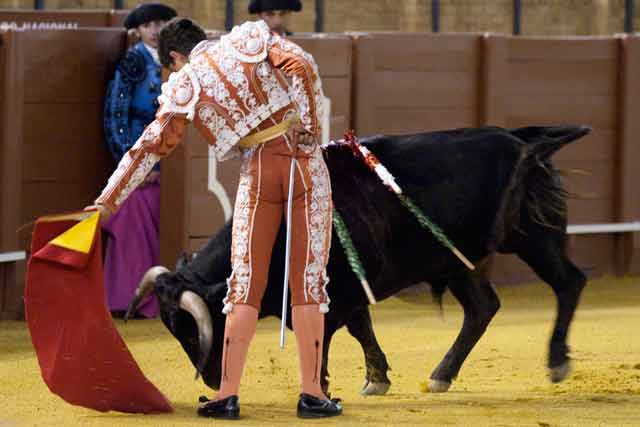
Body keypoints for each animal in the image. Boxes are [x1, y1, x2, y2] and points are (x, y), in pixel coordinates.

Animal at [131, 125, 592, 396]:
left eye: (195, 332)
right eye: (177, 333)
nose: (212, 380)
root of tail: (524, 141)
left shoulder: (338, 290)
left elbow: (327, 332)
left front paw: (320, 385)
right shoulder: (349, 290)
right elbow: (361, 329)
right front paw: (376, 378)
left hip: (534, 237)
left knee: (568, 282)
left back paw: (557, 360)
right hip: (456, 260)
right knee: (483, 307)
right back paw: (442, 374)